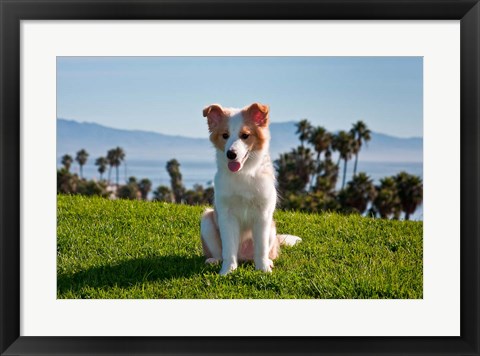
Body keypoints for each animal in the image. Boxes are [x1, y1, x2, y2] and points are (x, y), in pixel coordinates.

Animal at [200, 103, 300, 276]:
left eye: (245, 135)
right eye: (225, 135)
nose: (231, 154)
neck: (243, 174)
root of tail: (243, 256)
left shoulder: (263, 214)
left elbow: (261, 249)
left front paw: (263, 269)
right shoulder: (226, 215)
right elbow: (228, 249)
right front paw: (227, 271)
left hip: (271, 228)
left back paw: (268, 261)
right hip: (207, 220)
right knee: (220, 252)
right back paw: (214, 261)